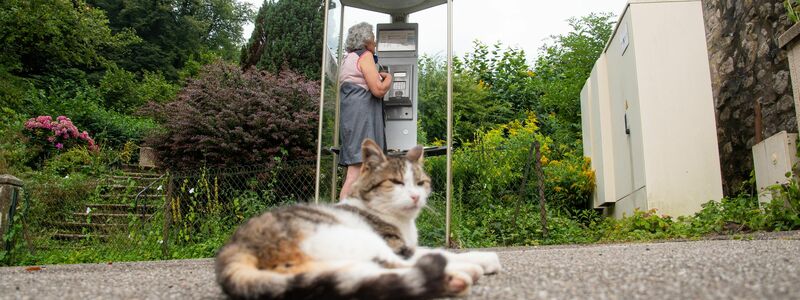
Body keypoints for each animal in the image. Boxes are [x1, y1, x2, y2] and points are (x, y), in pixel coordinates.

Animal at [212, 139, 500, 298]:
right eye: (396, 182)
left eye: (420, 183)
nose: (416, 196)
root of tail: (234, 245)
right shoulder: (397, 245)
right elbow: (436, 252)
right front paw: (478, 259)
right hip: (349, 236)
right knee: (393, 265)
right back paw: (459, 274)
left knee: (359, 275)